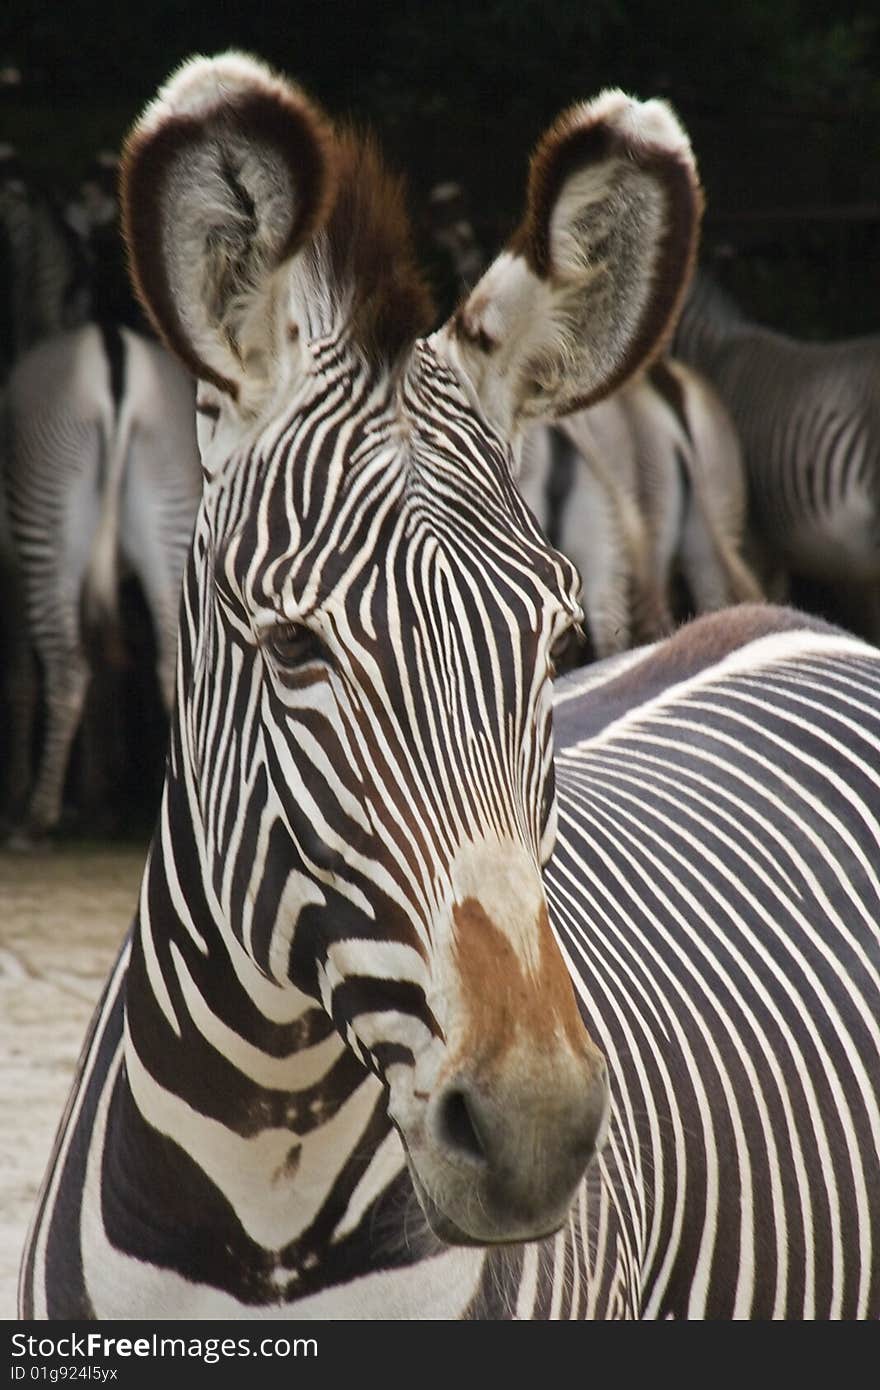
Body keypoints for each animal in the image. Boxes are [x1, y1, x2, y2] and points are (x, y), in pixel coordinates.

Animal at [3, 319, 198, 828]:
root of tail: (112, 343)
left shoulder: (10, 568)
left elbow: (20, 676)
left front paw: (19, 790)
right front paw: (96, 792)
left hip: (46, 522)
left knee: (68, 668)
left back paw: (39, 816)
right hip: (169, 510)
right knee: (170, 659)